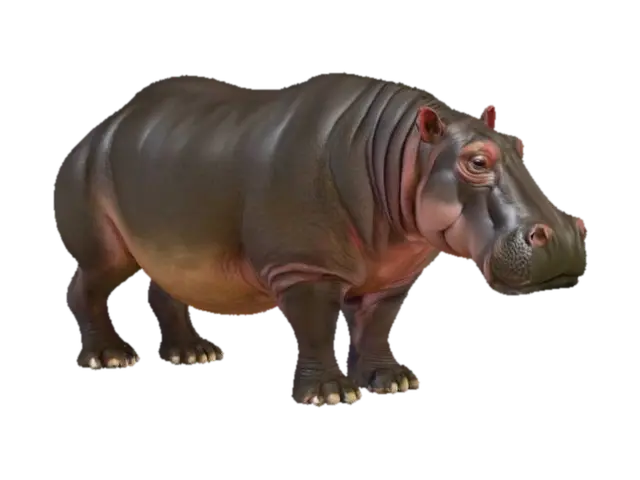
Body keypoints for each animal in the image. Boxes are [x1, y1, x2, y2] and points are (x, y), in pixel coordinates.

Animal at [54, 72, 588, 406]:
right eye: (476, 161)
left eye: (522, 145)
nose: (564, 235)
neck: (406, 154)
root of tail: (104, 123)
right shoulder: (305, 267)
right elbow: (314, 325)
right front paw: (332, 395)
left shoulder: (392, 274)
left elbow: (376, 327)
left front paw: (395, 383)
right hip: (97, 208)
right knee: (91, 280)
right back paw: (112, 360)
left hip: (172, 210)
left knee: (168, 282)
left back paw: (196, 356)